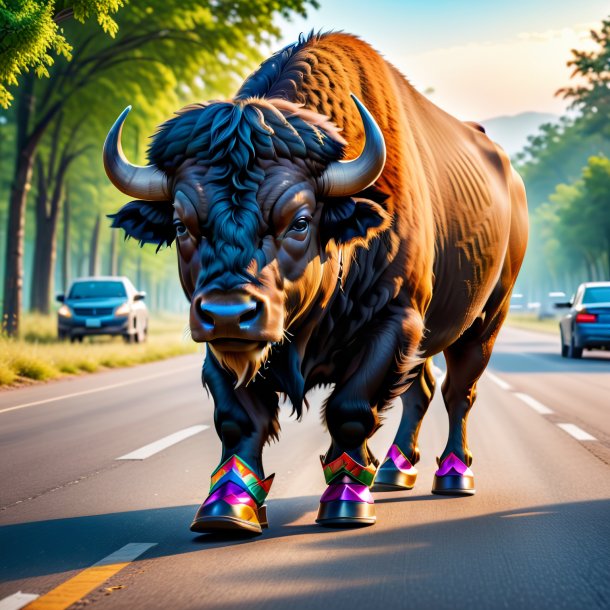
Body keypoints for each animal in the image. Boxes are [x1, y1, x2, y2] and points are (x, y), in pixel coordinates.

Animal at [102, 32, 524, 532]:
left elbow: (351, 411)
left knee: (458, 391)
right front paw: (226, 508)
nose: (229, 313)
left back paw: (454, 475)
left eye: (300, 221)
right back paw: (392, 470)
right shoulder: (220, 346)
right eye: (182, 225)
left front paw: (346, 500)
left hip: (486, 319)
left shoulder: (394, 321)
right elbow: (238, 419)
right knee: (419, 391)